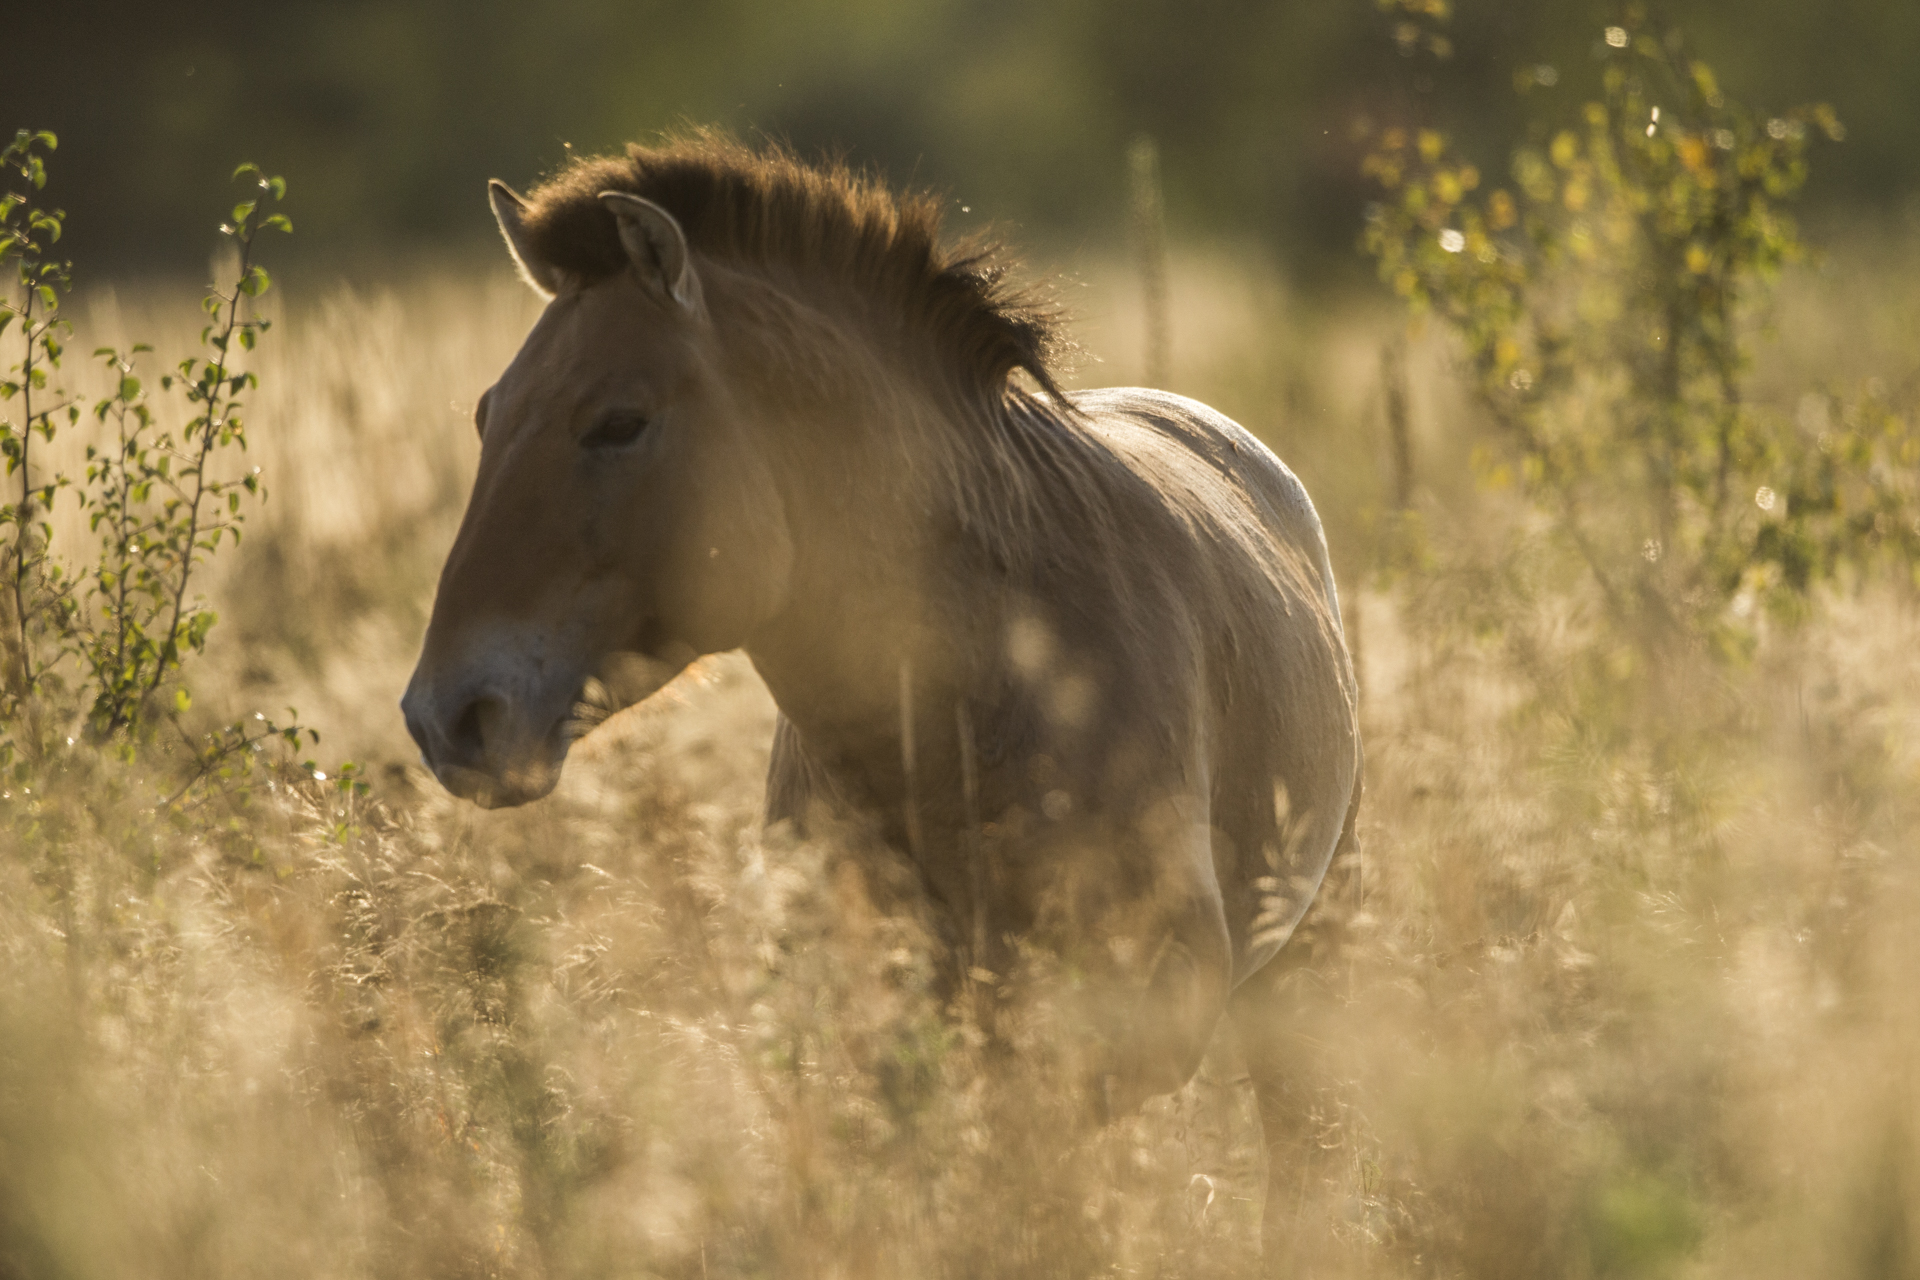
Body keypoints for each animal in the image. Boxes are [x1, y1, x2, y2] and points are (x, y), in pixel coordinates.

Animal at [401, 138, 1367, 1251]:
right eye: (487, 415)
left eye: (618, 421)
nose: (445, 715)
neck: (975, 700)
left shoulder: (1131, 1018)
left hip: (1308, 957)